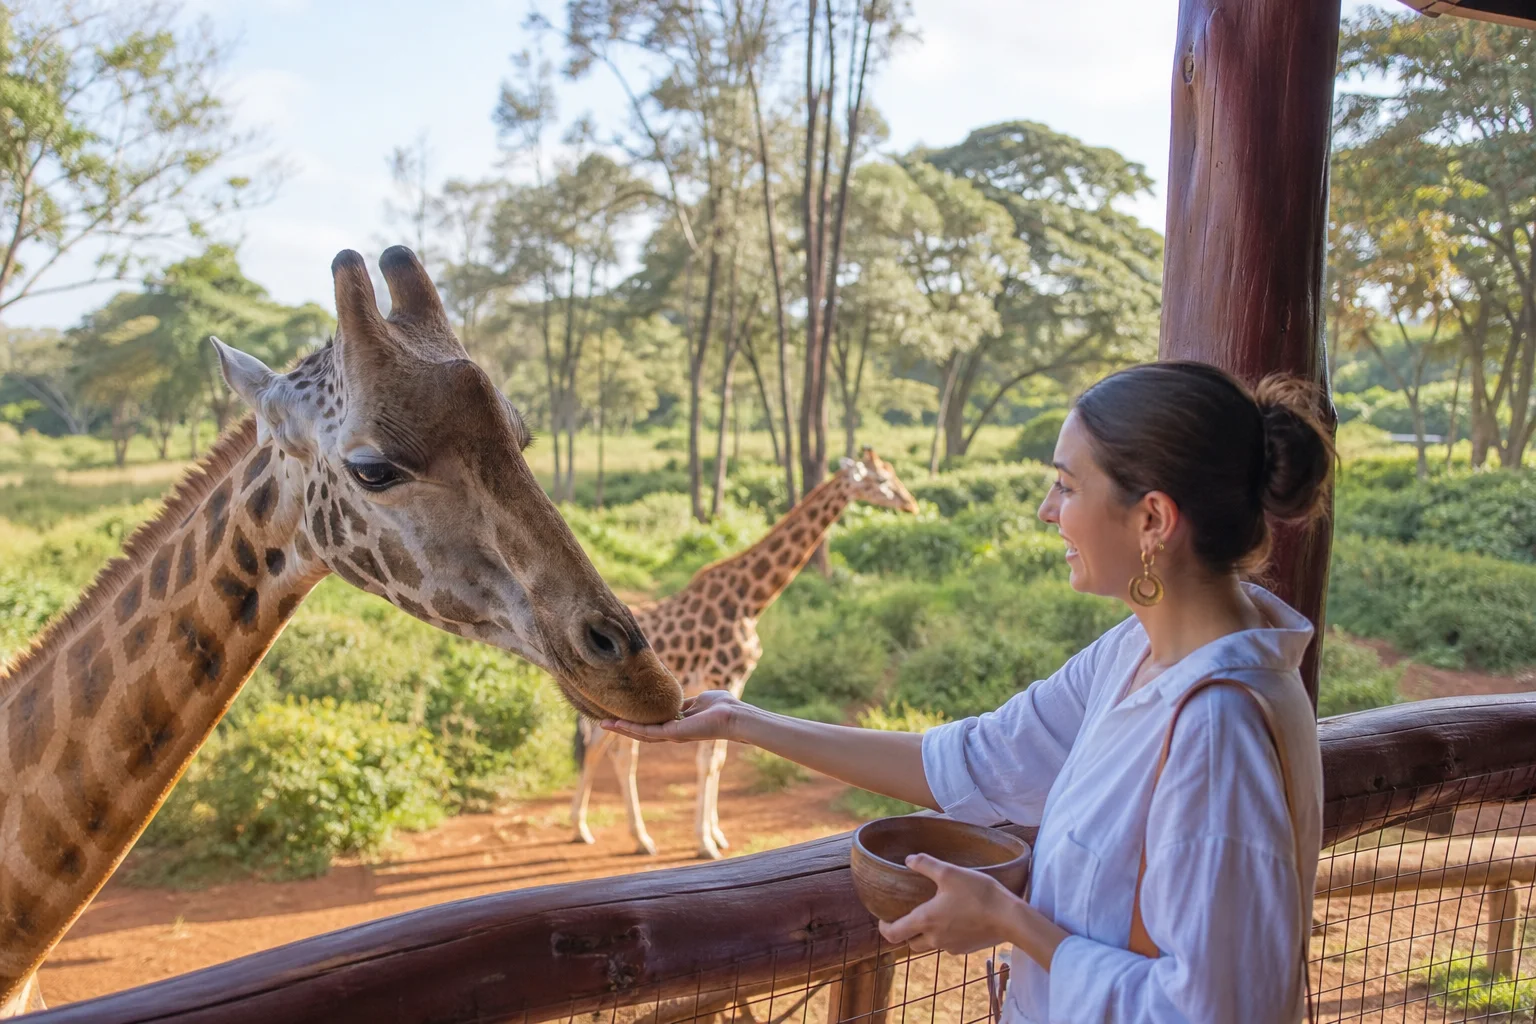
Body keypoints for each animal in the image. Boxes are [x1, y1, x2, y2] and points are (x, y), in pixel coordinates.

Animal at [571, 448, 919, 860]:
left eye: (892, 474)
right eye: (881, 480)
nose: (911, 504)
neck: (750, 602)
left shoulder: (734, 685)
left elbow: (719, 758)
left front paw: (716, 835)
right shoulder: (724, 676)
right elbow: (707, 762)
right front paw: (705, 843)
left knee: (617, 754)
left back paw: (632, 837)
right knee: (600, 750)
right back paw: (591, 831)